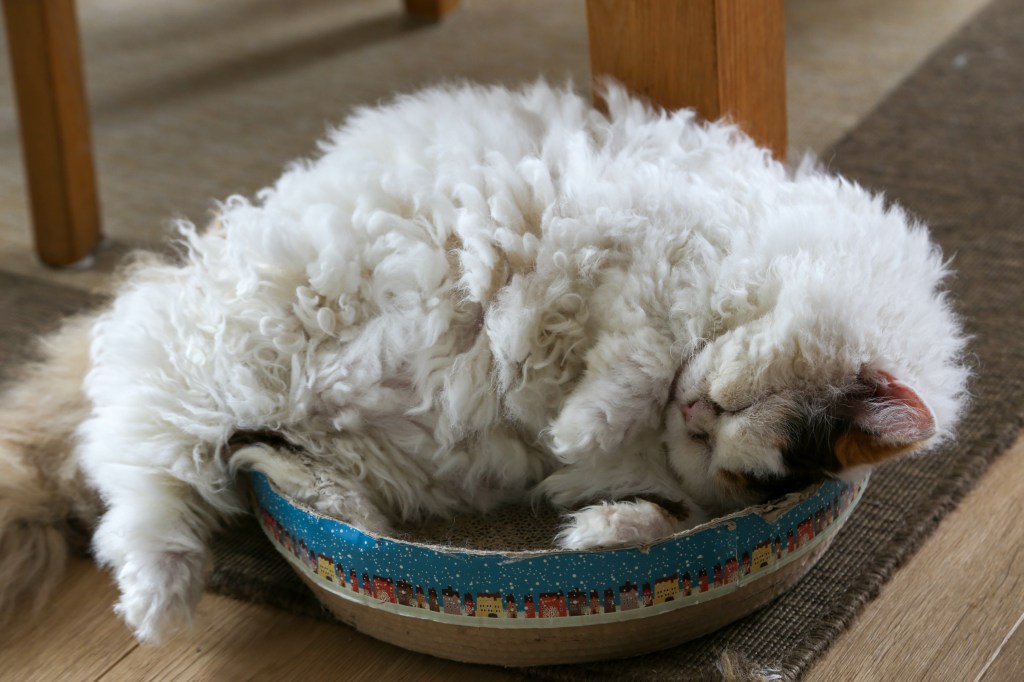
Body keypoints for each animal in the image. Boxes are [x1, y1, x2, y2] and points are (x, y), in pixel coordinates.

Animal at [0, 80, 966, 643]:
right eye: (735, 408)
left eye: (743, 466)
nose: (696, 418)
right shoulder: (650, 250)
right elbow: (636, 356)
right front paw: (582, 424)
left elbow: (658, 518)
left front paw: (594, 527)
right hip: (196, 368)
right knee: (137, 484)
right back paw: (160, 603)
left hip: (308, 434)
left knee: (251, 475)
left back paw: (321, 512)